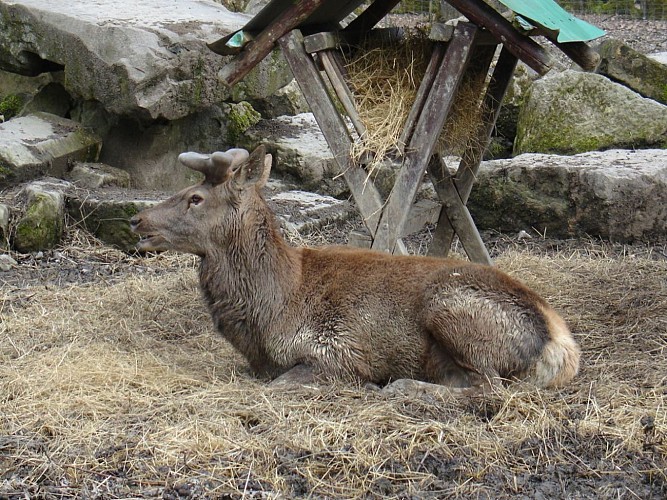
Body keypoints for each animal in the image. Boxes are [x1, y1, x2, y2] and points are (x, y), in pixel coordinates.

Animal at [129, 145, 580, 390]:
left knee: (489, 389)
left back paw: (403, 387)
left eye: (196, 198)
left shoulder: (338, 351)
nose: (137, 221)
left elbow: (282, 384)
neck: (270, 310)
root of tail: (561, 345)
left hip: (452, 308)